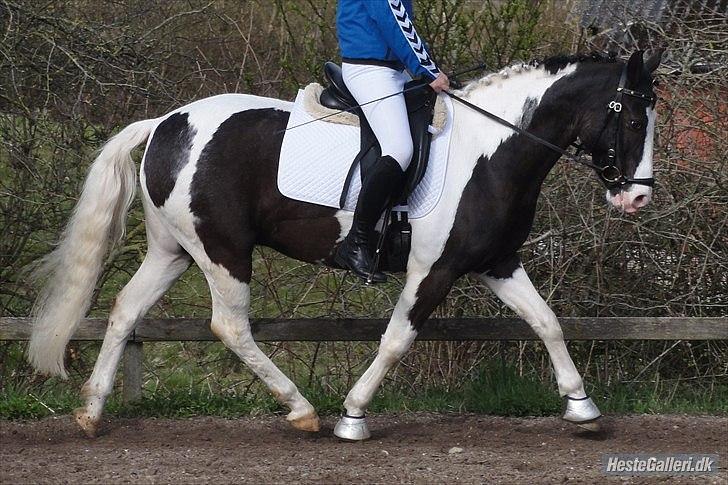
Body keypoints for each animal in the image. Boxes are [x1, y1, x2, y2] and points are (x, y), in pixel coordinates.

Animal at [28, 50, 664, 438]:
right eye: (634, 120)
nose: (637, 200)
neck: (491, 150)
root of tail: (166, 121)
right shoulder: (433, 270)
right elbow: (397, 339)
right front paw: (353, 415)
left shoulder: (496, 263)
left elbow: (547, 321)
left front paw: (582, 407)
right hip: (223, 252)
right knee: (229, 326)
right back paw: (302, 409)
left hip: (174, 250)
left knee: (124, 310)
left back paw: (91, 410)